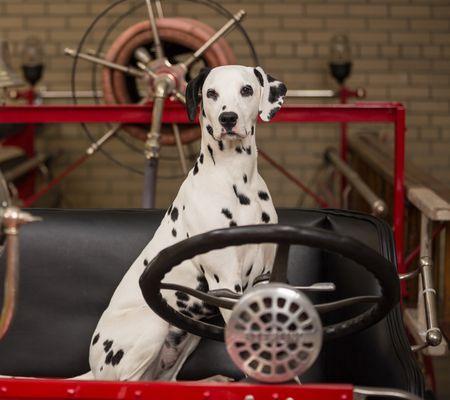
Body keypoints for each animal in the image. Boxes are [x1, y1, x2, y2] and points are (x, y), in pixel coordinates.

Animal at [86, 65, 286, 382]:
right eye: (211, 93)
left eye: (246, 89)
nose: (228, 119)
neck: (236, 178)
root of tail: (93, 371)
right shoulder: (225, 282)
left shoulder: (264, 278)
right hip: (153, 322)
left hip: (189, 336)